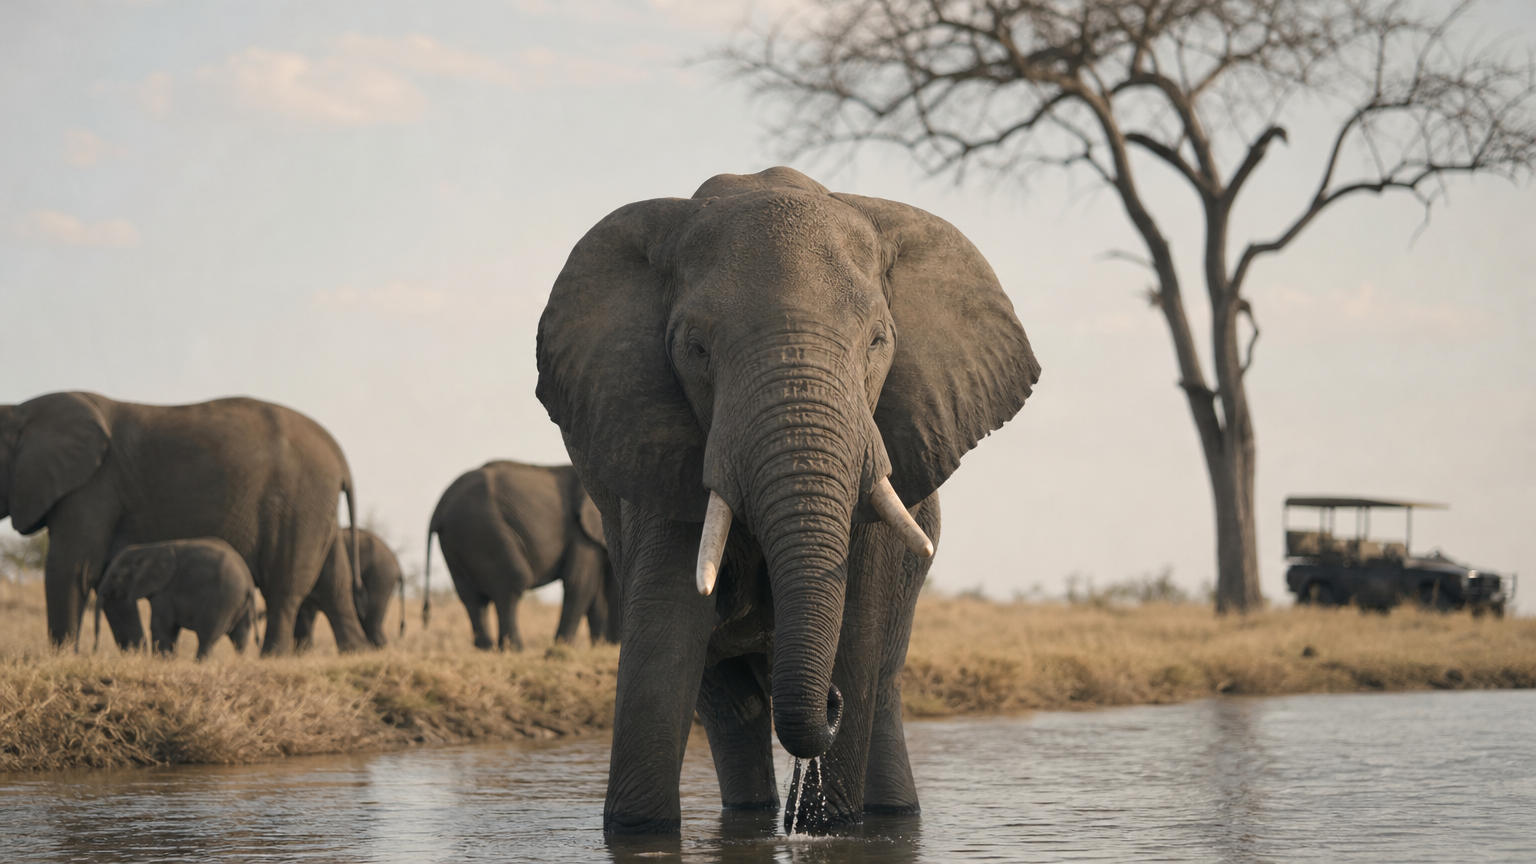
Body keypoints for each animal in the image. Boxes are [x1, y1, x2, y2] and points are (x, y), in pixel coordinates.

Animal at [94, 537, 258, 659]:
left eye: (114, 576)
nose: (94, 651)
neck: (147, 549)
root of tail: (248, 581)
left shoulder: (166, 589)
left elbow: (161, 624)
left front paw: (161, 661)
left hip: (222, 599)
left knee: (207, 634)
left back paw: (198, 664)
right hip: (241, 602)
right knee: (241, 636)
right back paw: (240, 663)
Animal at [424, 460, 616, 650]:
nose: (613, 644)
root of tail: (439, 508)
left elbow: (595, 591)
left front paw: (599, 647)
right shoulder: (581, 532)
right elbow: (578, 581)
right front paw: (563, 647)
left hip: (455, 543)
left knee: (471, 597)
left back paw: (486, 648)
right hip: (484, 530)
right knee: (513, 582)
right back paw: (514, 649)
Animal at [535, 167, 1039, 834]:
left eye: (878, 341)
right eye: (696, 348)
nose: (828, 700)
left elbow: (858, 628)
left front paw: (831, 826)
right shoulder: (652, 446)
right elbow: (663, 640)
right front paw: (639, 831)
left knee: (881, 685)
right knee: (730, 704)